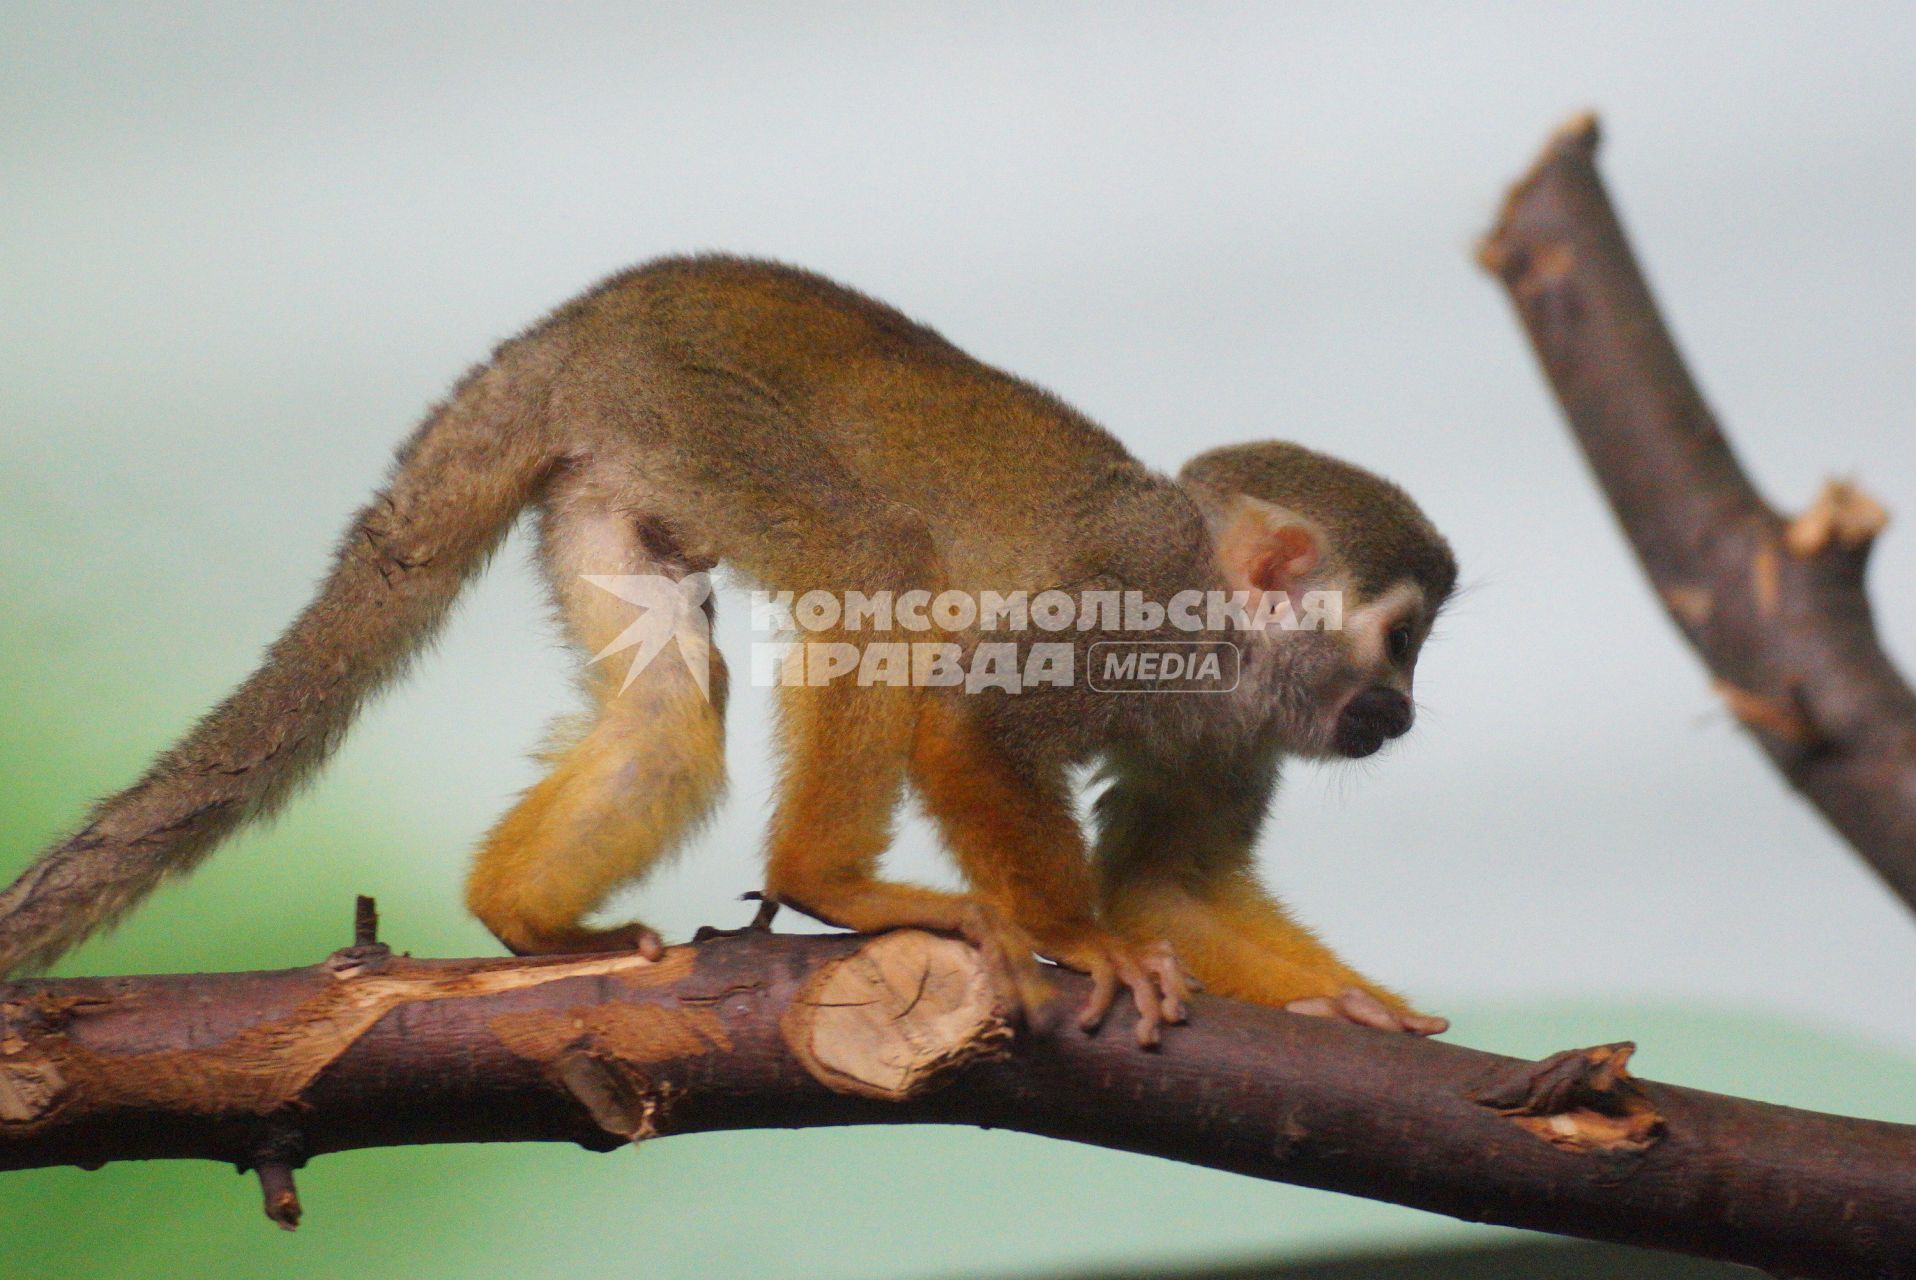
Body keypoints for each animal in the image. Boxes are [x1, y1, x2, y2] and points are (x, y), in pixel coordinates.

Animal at [0, 254, 1448, 1042]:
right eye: (1400, 637)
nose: (1399, 711)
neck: (1226, 640)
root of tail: (564, 333)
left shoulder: (1239, 727)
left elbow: (1169, 882)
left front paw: (1343, 1006)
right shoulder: (1136, 605)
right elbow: (975, 721)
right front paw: (1073, 934)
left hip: (621, 471)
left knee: (669, 696)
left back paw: (526, 916)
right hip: (695, 409)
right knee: (874, 558)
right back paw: (829, 884)